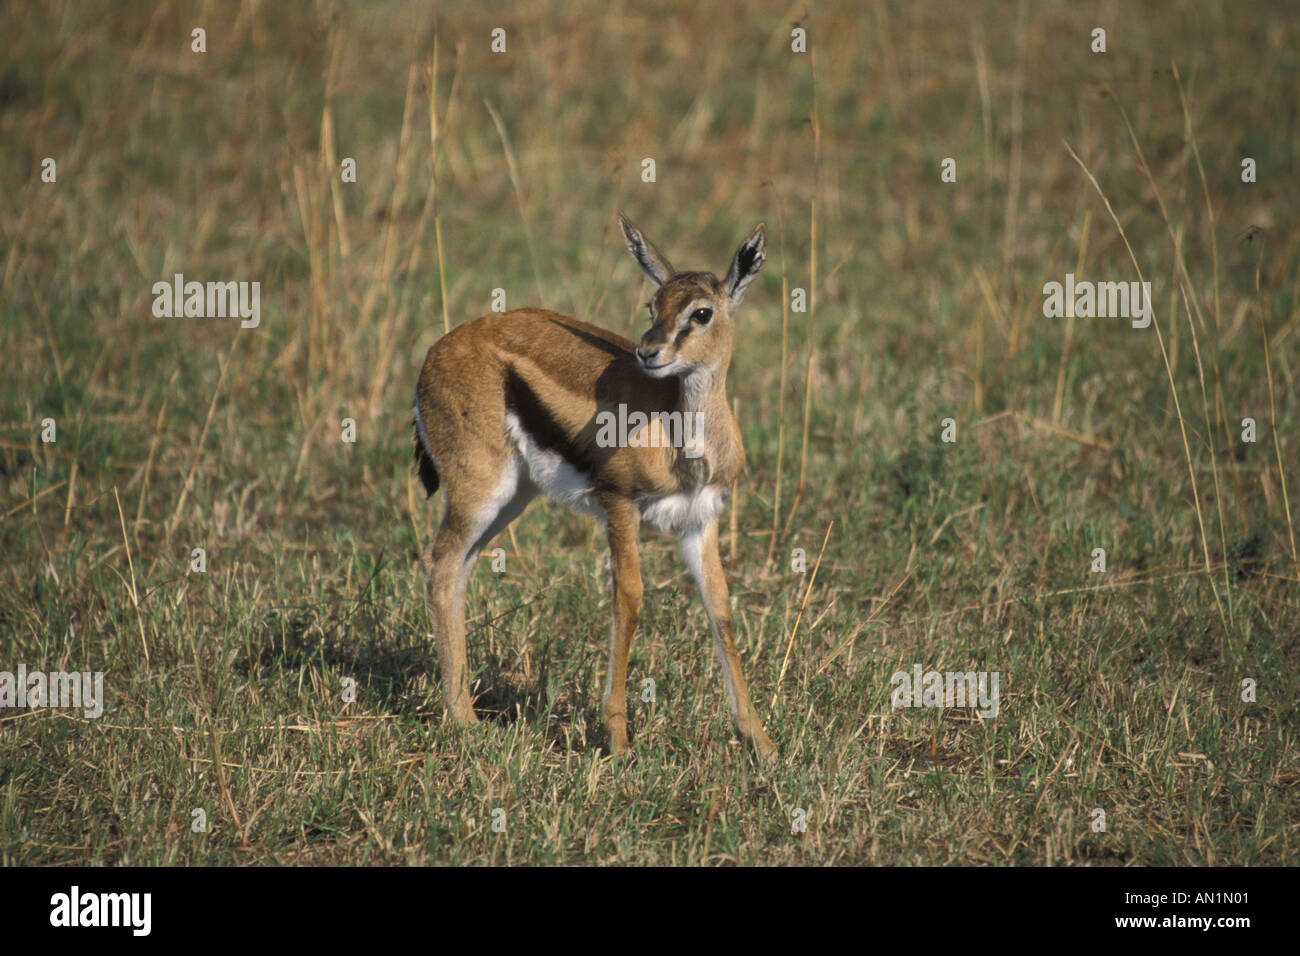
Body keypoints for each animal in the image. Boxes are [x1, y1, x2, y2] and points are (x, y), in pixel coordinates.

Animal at [412, 214, 775, 759]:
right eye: (653, 304)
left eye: (701, 312)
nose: (649, 352)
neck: (680, 440)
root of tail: (436, 353)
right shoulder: (620, 504)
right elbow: (629, 597)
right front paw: (620, 743)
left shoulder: (700, 520)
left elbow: (720, 608)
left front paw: (762, 742)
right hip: (480, 492)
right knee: (439, 564)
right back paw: (464, 722)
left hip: (510, 499)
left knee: (458, 569)